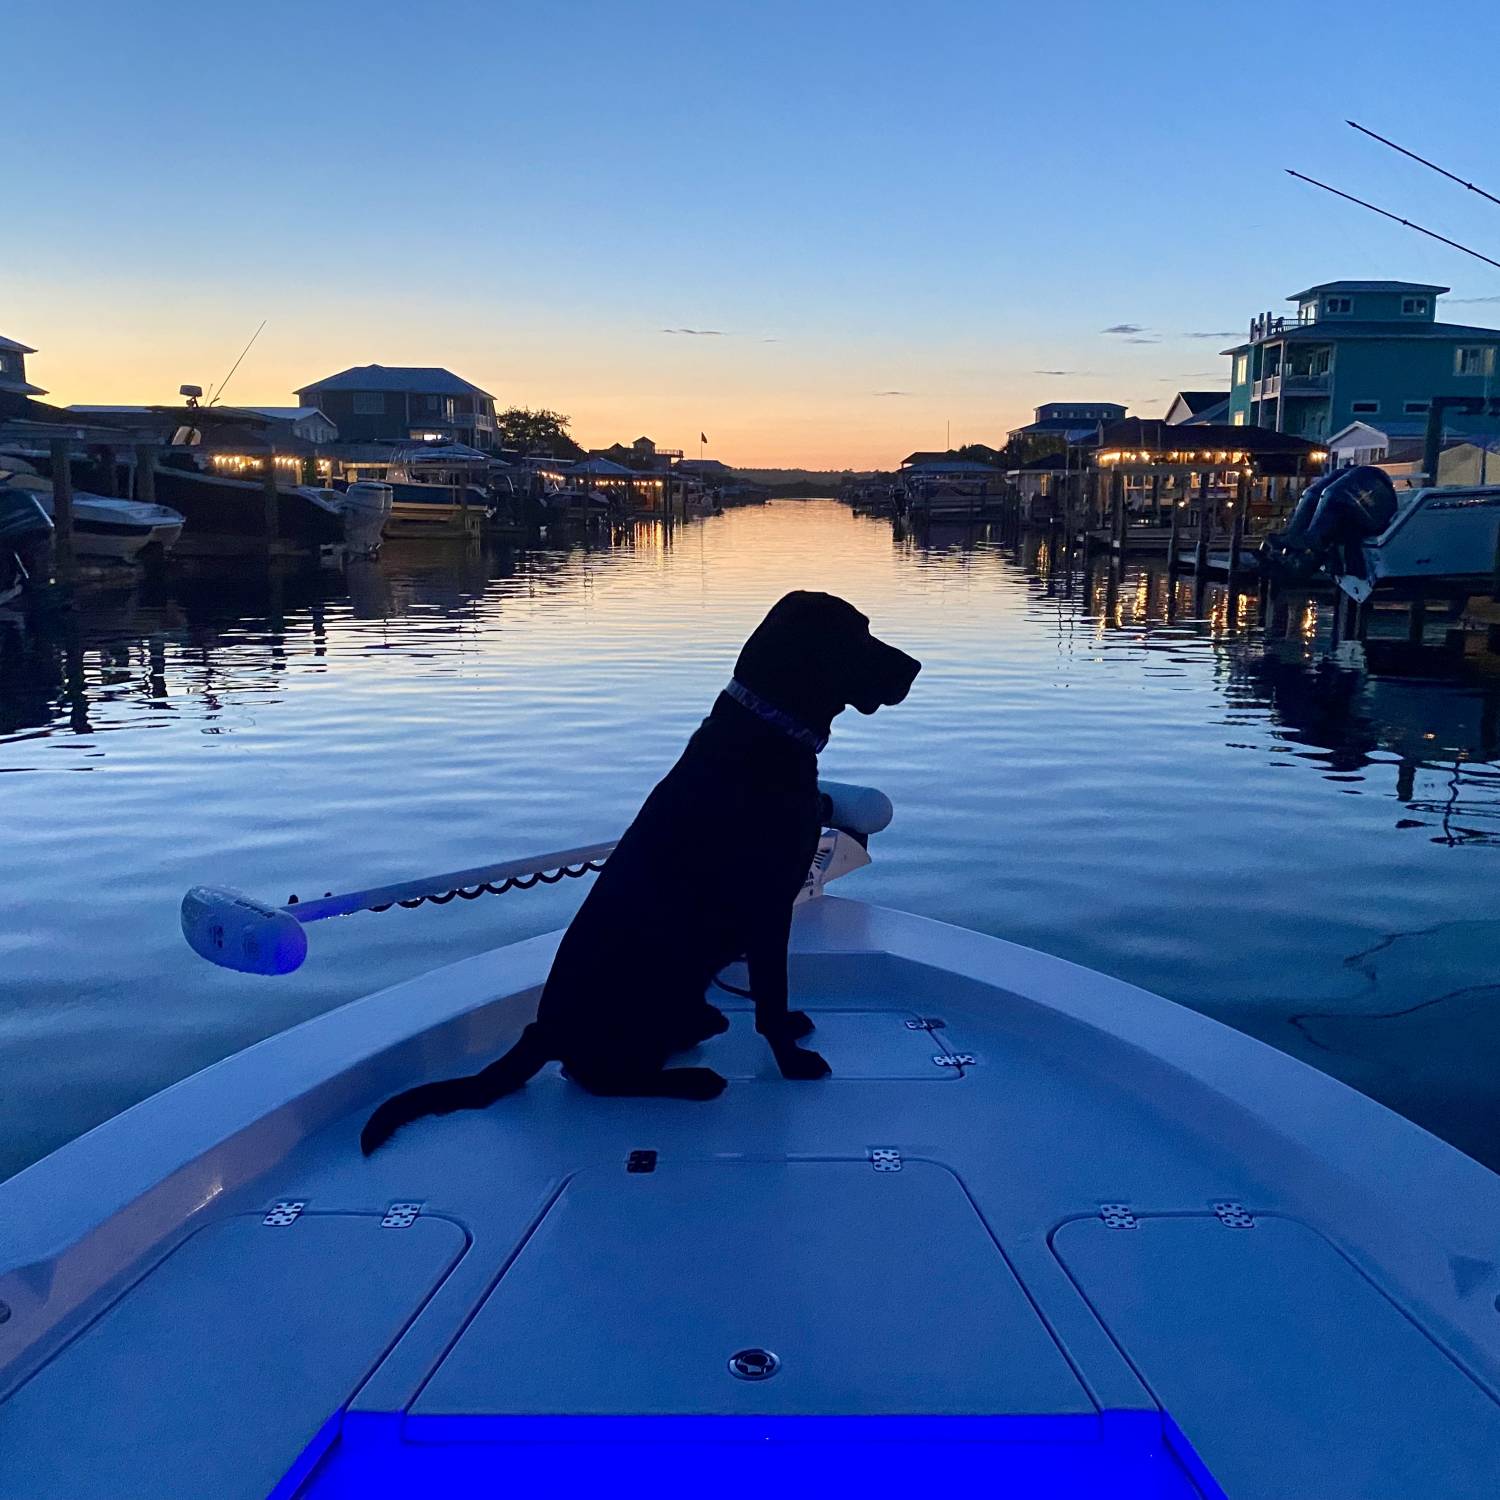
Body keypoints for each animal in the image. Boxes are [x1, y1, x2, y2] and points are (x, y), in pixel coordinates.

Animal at [363, 591, 918, 1152]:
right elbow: (771, 995)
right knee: (597, 1076)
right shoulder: (768, 910)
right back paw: (692, 1079)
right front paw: (792, 1062)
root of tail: (543, 1031)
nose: (915, 666)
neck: (767, 730)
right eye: (856, 632)